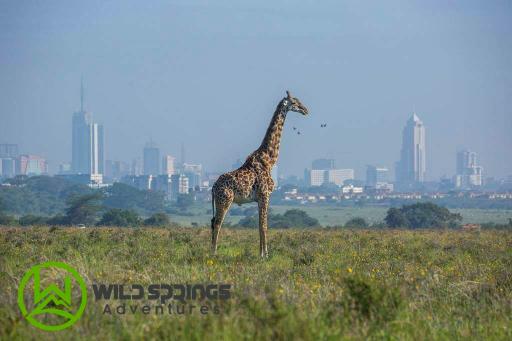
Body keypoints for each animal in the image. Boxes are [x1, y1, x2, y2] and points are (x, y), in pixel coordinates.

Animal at [211, 90, 308, 255]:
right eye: (294, 102)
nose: (306, 110)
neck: (269, 159)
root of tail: (213, 188)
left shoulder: (259, 199)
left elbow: (258, 225)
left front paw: (261, 252)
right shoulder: (265, 195)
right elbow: (264, 225)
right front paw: (265, 254)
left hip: (220, 201)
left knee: (212, 222)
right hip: (225, 200)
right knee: (217, 223)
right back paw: (214, 253)